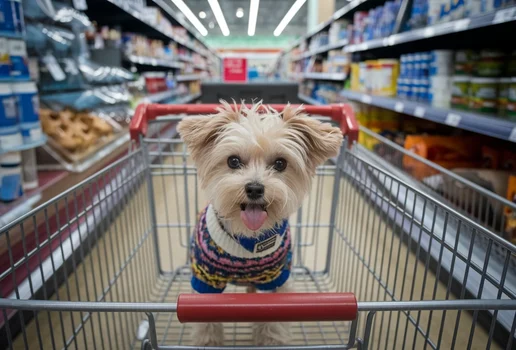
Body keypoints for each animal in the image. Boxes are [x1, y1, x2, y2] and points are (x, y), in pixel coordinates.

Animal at [177, 101, 342, 348]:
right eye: (233, 161)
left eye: (280, 163)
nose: (255, 188)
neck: (247, 237)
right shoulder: (205, 280)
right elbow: (206, 322)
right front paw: (208, 343)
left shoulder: (275, 279)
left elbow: (272, 320)